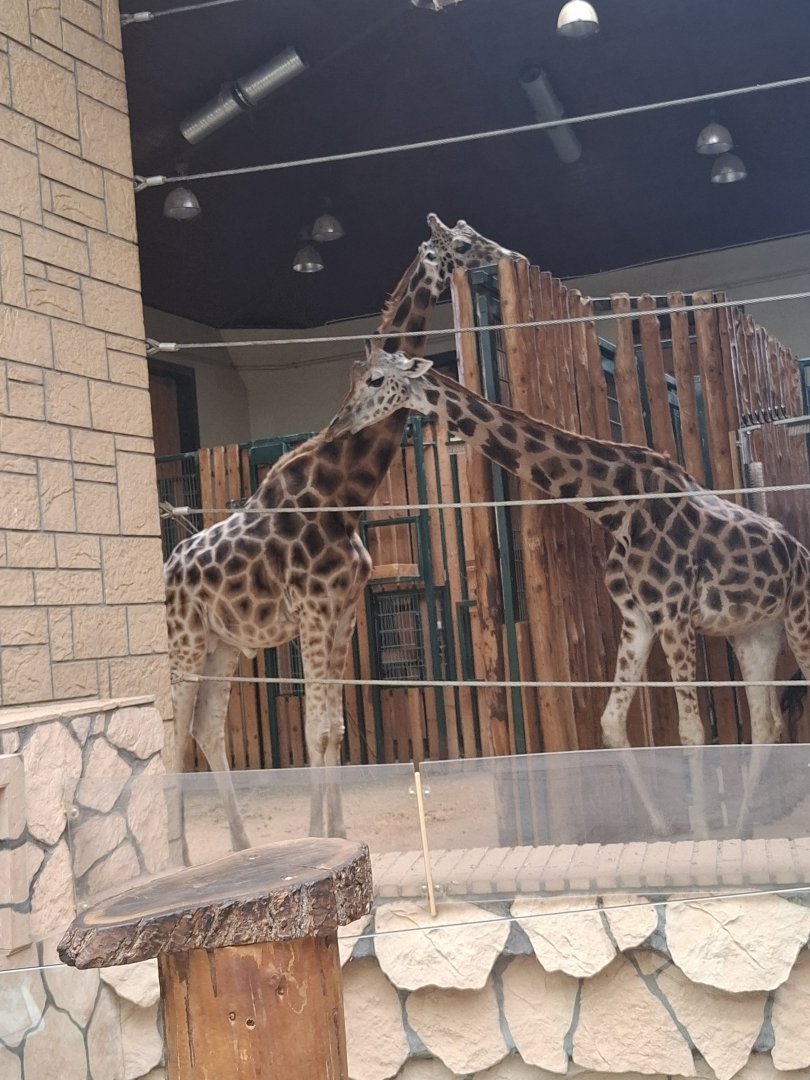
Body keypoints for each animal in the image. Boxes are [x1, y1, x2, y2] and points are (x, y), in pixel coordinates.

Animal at [164, 216, 521, 852]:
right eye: (461, 244)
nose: (509, 256)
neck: (343, 494)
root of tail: (166, 568)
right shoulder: (312, 611)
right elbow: (313, 729)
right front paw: (316, 838)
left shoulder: (344, 612)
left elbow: (333, 727)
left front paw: (336, 834)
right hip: (185, 641)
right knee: (173, 734)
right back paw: (177, 858)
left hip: (223, 642)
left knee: (207, 727)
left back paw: (241, 846)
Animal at [327, 347, 810, 800]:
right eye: (352, 375)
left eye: (376, 379)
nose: (336, 425)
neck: (617, 507)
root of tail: (801, 553)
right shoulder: (639, 618)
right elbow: (612, 723)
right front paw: (663, 825)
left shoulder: (673, 615)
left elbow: (691, 733)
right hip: (755, 633)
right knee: (766, 722)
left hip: (798, 622)